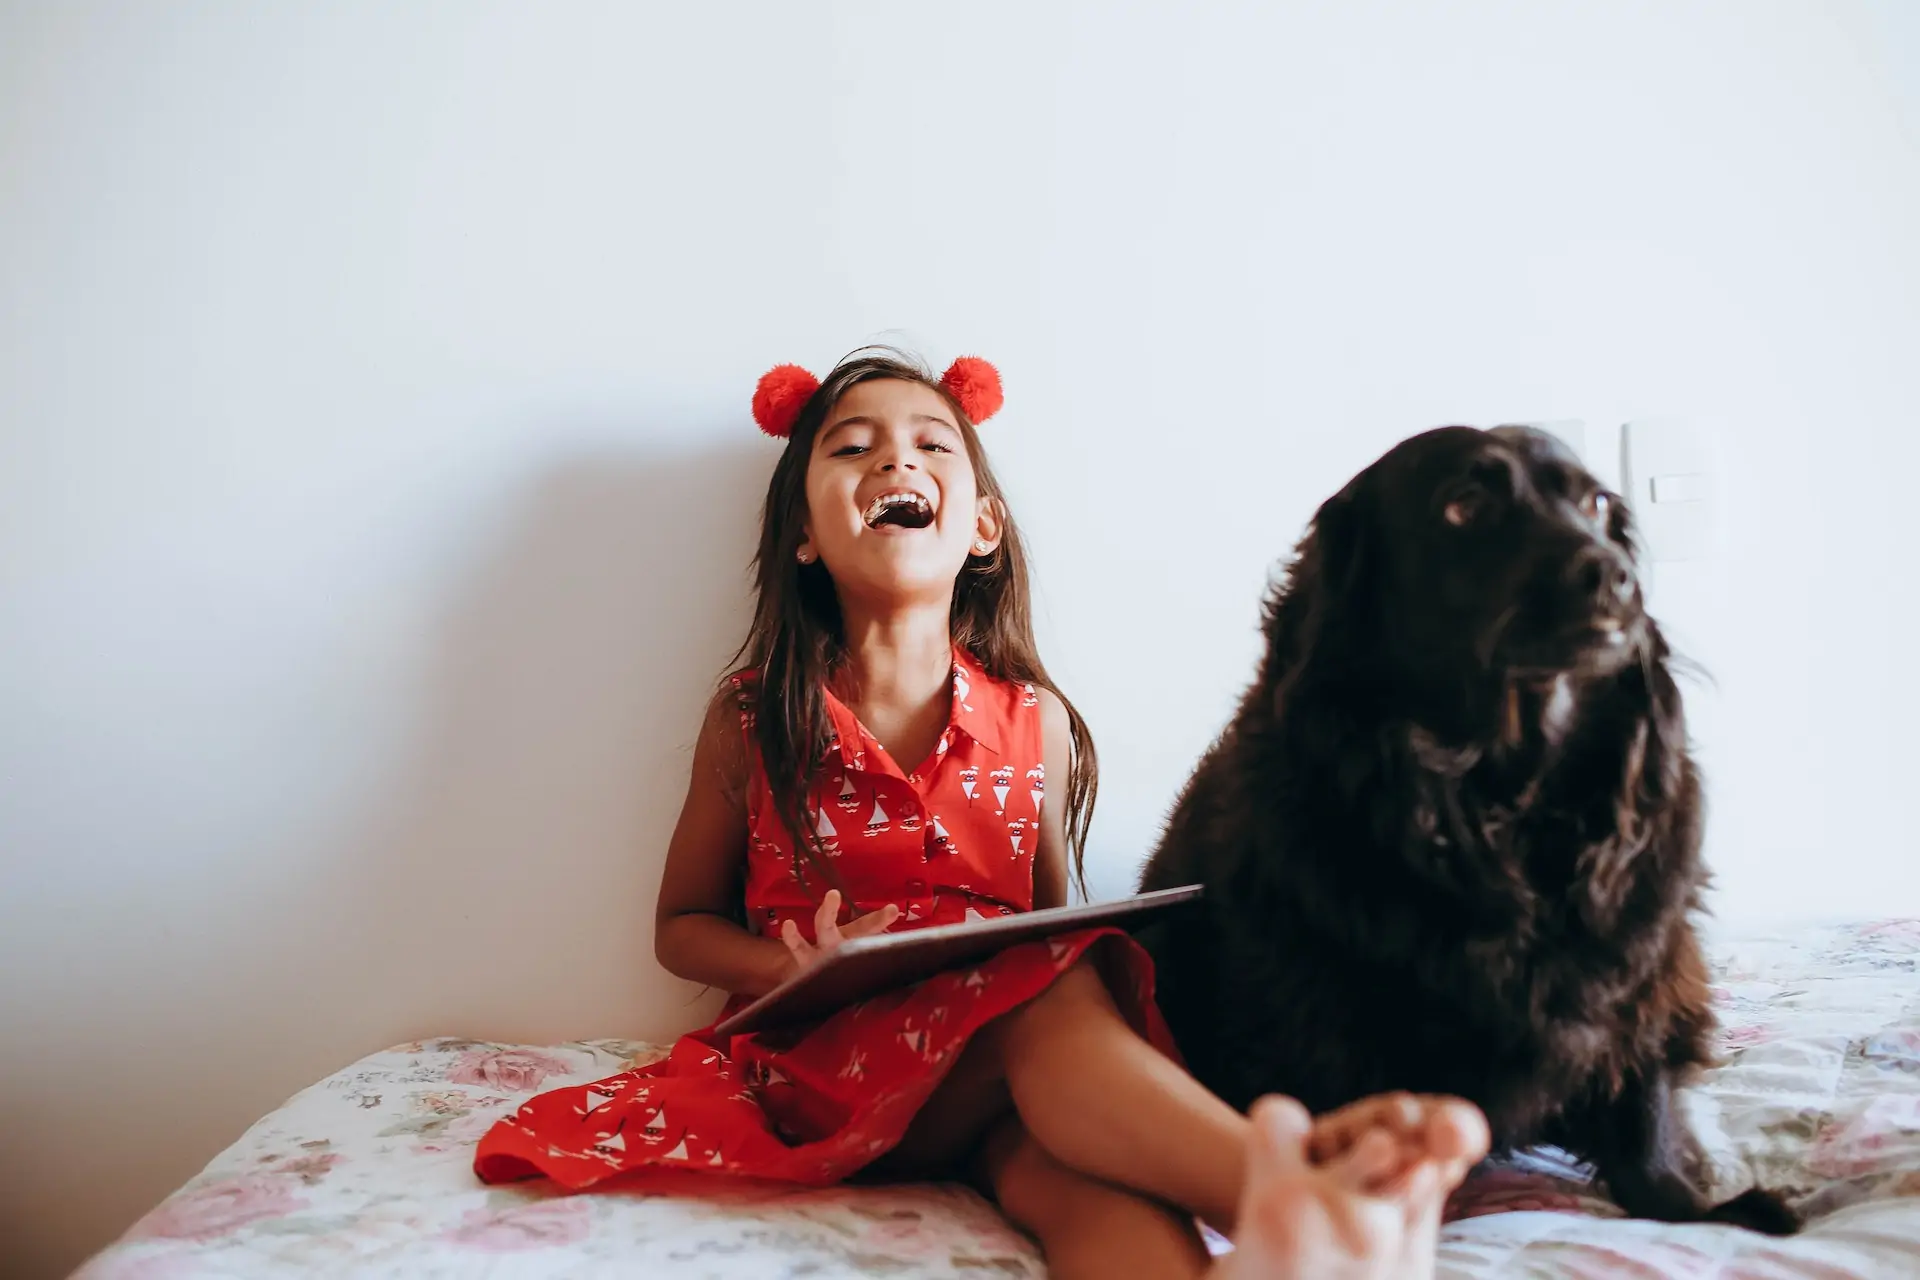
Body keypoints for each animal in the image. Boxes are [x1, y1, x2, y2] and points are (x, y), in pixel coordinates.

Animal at [1128, 427, 1789, 1228]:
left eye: (1599, 504)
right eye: (1464, 506)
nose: (1614, 575)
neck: (1503, 802)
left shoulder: (1641, 973)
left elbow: (1645, 1110)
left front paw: (1693, 1205)